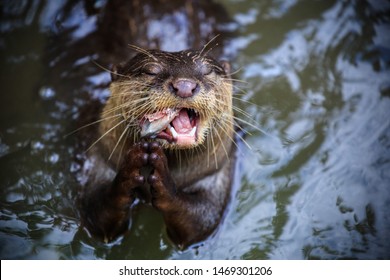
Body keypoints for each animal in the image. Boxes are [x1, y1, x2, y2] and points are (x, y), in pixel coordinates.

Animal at [77, 1, 238, 249]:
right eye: (150, 71)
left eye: (207, 70)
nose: (184, 85)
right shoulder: (98, 158)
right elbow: (95, 214)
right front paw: (130, 168)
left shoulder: (219, 173)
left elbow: (199, 223)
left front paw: (163, 178)